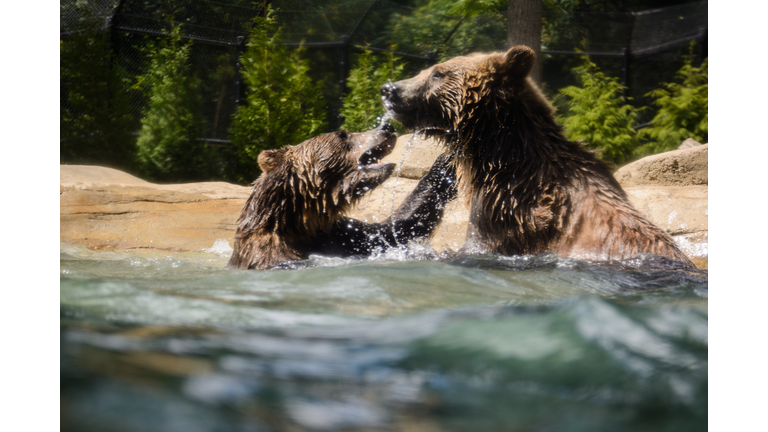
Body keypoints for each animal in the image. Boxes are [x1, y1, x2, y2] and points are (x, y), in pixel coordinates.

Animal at [228, 122, 456, 270]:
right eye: (342, 134)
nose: (387, 127)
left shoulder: (341, 233)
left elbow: (394, 230)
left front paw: (445, 164)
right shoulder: (271, 252)